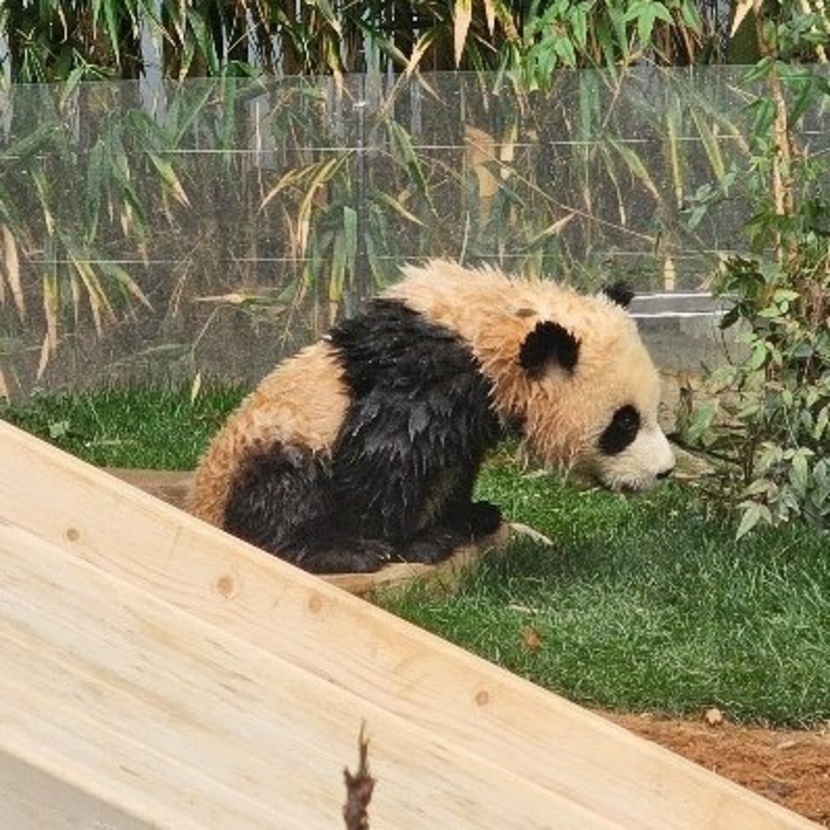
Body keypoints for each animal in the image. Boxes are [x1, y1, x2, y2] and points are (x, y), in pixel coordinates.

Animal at [189, 259, 675, 574]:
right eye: (625, 423)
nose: (665, 471)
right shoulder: (421, 377)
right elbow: (386, 458)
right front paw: (416, 542)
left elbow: (455, 461)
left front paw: (469, 515)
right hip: (277, 441)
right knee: (284, 490)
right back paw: (337, 551)